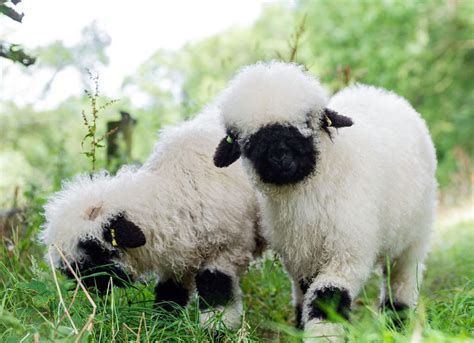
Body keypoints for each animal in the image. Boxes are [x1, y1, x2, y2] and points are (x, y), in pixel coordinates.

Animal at [213, 62, 436, 342]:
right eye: (244, 138)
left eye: (308, 121)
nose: (279, 156)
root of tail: (381, 93)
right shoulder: (300, 257)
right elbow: (307, 295)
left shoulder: (346, 252)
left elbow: (328, 298)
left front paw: (324, 335)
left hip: (415, 235)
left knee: (402, 278)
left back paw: (397, 322)